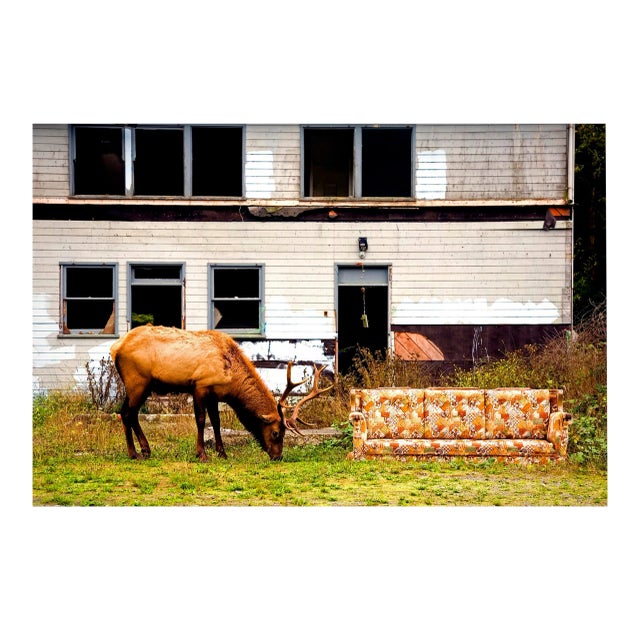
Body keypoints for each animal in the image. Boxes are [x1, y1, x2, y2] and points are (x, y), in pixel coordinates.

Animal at [109, 325, 333, 461]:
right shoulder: (200, 386)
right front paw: (202, 454)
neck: (231, 380)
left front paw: (222, 453)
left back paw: (146, 450)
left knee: (130, 413)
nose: (278, 456)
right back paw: (134, 453)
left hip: (142, 386)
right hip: (137, 382)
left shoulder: (214, 394)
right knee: (127, 413)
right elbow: (201, 420)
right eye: (276, 432)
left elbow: (216, 422)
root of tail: (115, 348)